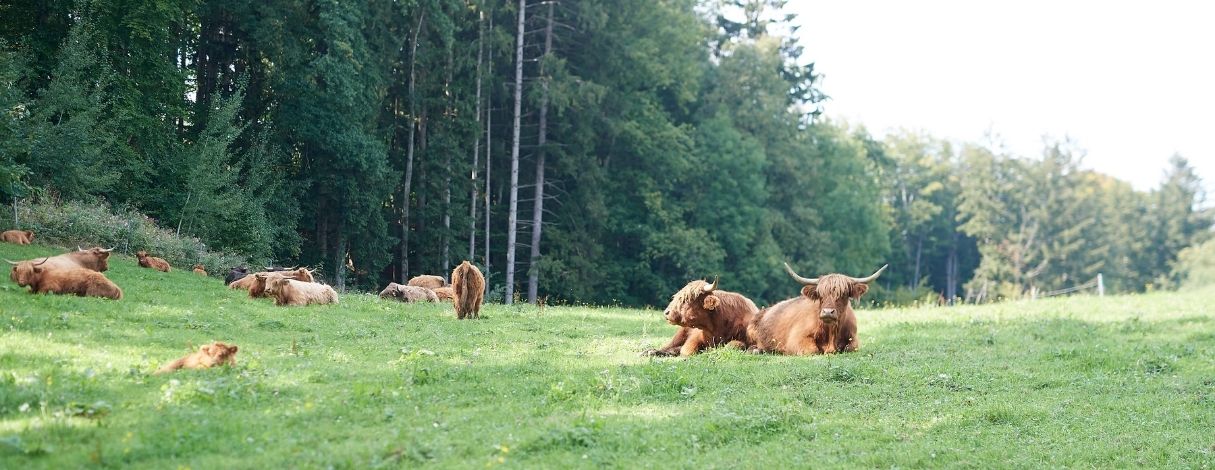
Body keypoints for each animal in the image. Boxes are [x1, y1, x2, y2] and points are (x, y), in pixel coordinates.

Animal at [743, 263, 889, 354]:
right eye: (820, 294)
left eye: (843, 294)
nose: (828, 312)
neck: (831, 333)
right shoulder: (796, 339)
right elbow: (812, 350)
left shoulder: (853, 339)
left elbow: (850, 348)